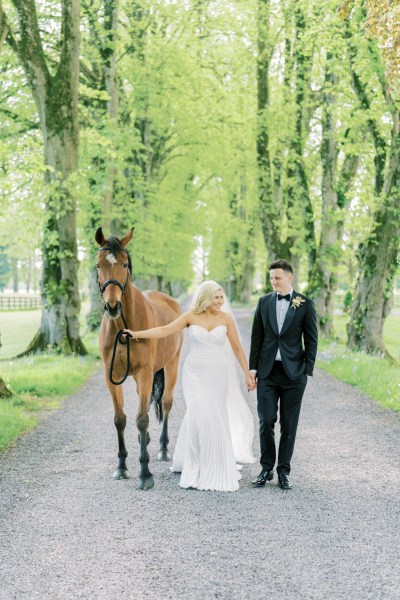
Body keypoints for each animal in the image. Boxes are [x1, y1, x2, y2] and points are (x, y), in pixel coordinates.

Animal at [96, 227, 184, 490]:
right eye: (98, 265)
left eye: (125, 264)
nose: (112, 306)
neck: (123, 329)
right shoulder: (111, 376)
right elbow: (120, 419)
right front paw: (122, 466)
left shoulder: (146, 372)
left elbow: (143, 418)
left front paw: (145, 474)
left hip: (171, 366)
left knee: (165, 403)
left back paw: (163, 449)